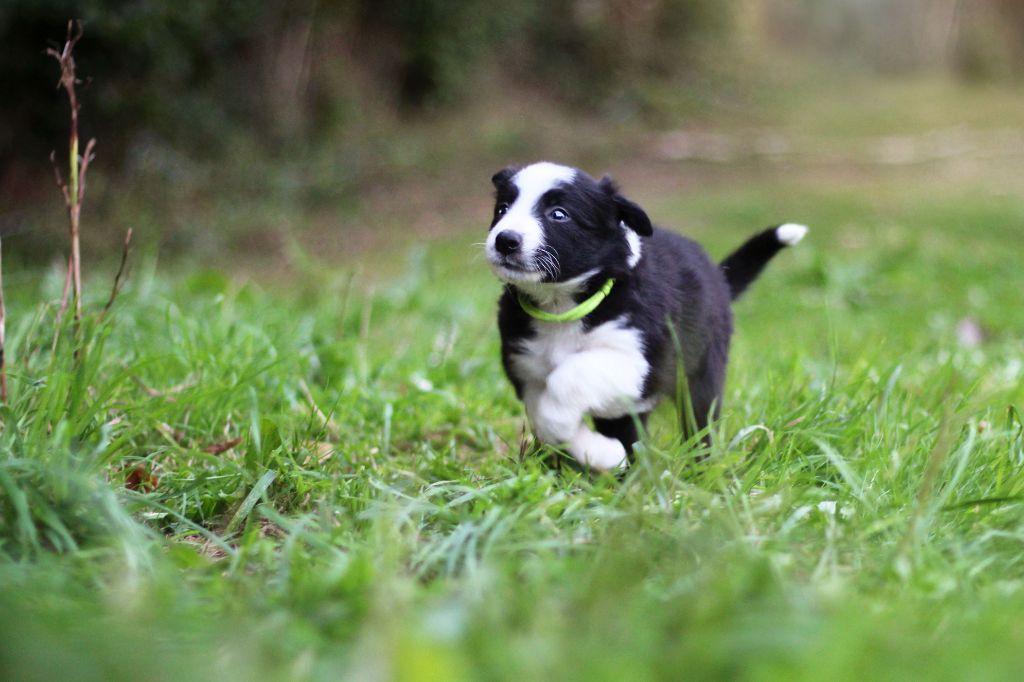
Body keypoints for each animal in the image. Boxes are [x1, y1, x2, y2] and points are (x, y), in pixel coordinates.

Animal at [485, 161, 806, 472]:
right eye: (502, 209)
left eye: (558, 214)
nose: (505, 240)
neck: (563, 305)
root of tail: (719, 276)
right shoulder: (526, 368)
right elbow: (544, 417)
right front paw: (603, 454)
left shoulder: (640, 359)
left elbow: (569, 379)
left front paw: (604, 453)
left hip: (701, 371)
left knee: (699, 425)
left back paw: (698, 470)